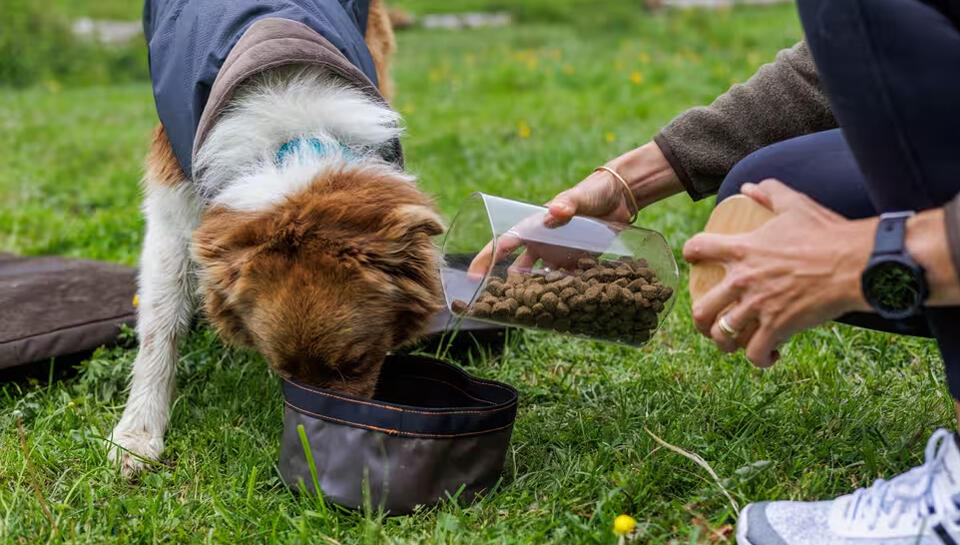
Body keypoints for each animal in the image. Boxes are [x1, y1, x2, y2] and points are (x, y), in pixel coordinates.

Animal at [110, 1, 444, 472]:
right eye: (283, 371)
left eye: (357, 362)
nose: (326, 445)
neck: (295, 140)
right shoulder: (173, 195)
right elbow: (161, 320)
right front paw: (137, 434)